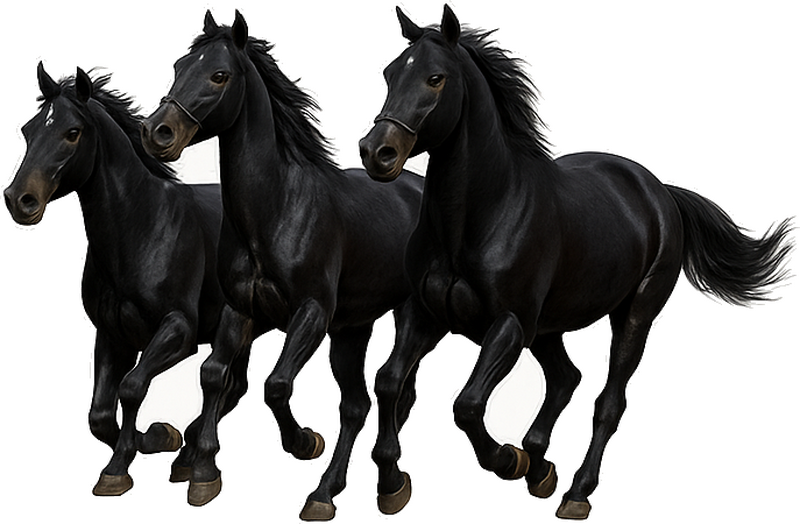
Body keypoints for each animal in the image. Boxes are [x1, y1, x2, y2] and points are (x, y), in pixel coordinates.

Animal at [2, 65, 248, 502]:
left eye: (72, 132)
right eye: (29, 130)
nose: (20, 200)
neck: (139, 227)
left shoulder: (178, 330)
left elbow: (132, 387)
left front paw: (131, 457)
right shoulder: (111, 335)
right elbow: (100, 412)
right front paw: (154, 441)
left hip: (235, 322)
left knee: (223, 379)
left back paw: (199, 463)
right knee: (234, 382)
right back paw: (189, 456)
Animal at [140, 12, 424, 517]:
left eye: (219, 75)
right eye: (179, 67)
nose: (158, 133)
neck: (275, 210)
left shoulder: (310, 312)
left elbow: (275, 384)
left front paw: (305, 441)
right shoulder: (241, 311)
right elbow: (213, 374)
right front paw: (204, 475)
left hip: (404, 315)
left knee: (393, 388)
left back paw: (391, 484)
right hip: (351, 329)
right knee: (358, 405)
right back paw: (325, 495)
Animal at [358, 5, 798, 521]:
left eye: (435, 78)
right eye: (390, 74)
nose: (377, 153)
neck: (477, 216)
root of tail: (661, 192)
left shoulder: (509, 323)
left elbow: (467, 403)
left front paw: (507, 460)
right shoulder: (425, 312)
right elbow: (390, 382)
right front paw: (393, 483)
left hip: (633, 313)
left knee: (608, 400)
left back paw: (574, 492)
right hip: (550, 324)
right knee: (567, 377)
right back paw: (542, 470)